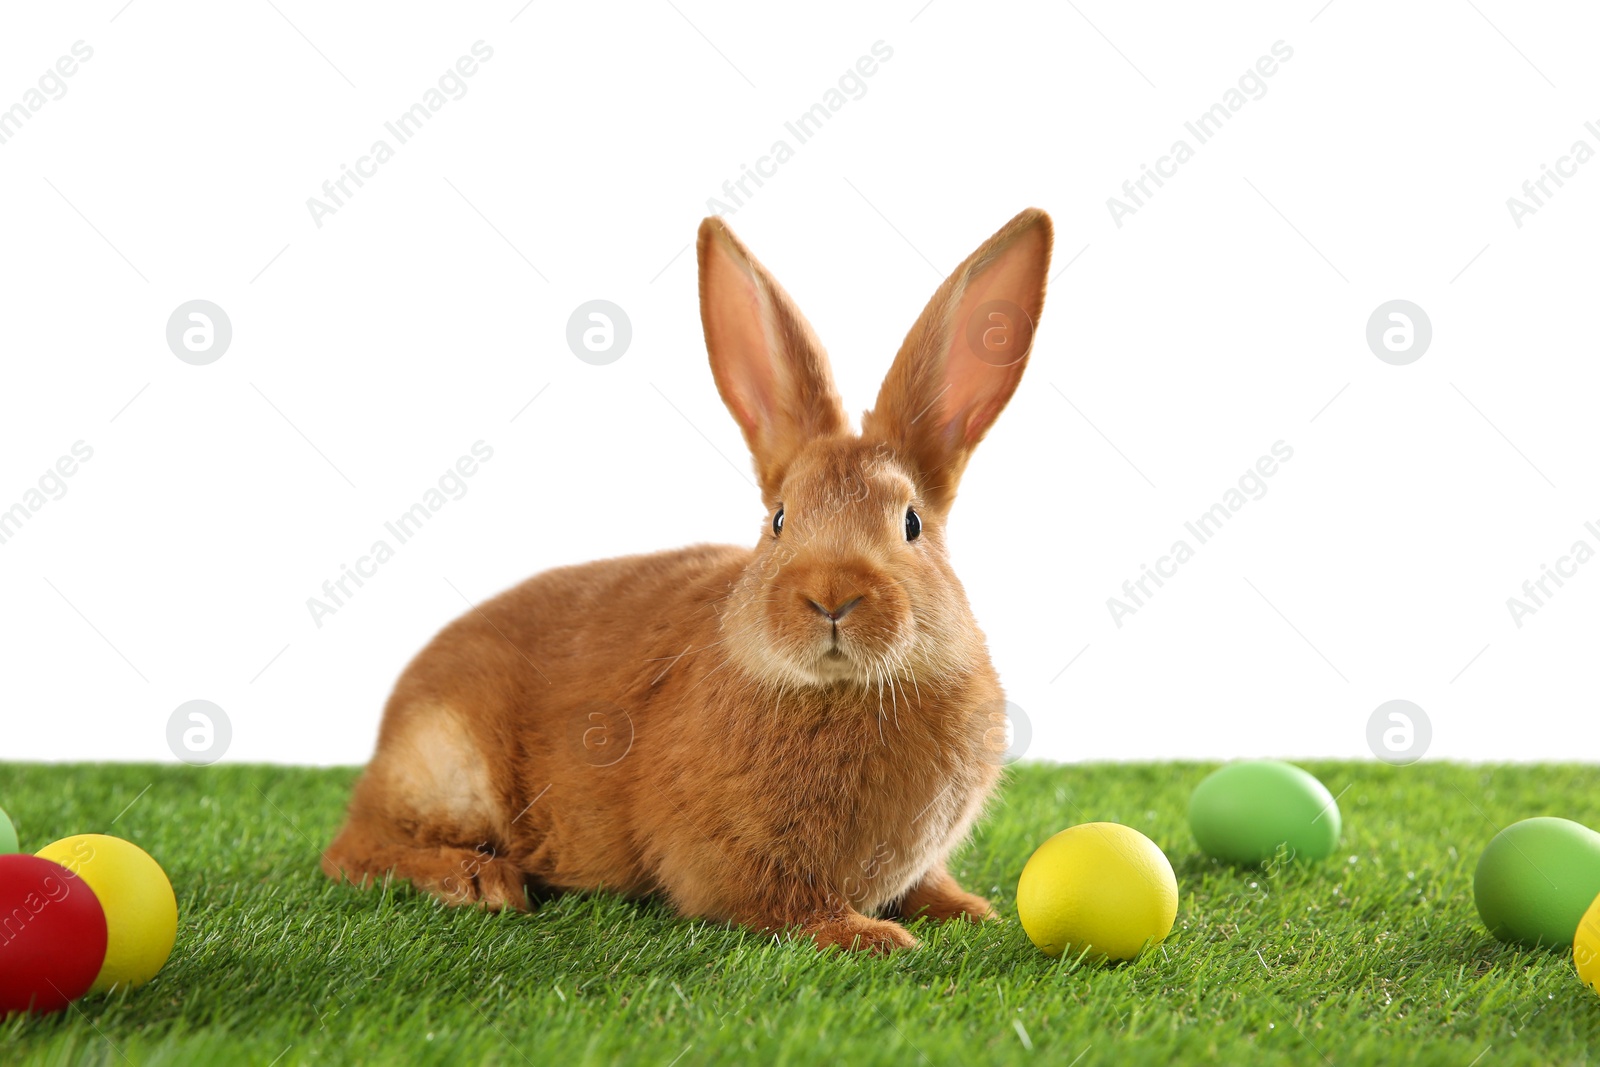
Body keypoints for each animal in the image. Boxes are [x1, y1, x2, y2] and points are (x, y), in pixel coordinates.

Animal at [321, 206, 1049, 953]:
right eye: (778, 520)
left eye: (911, 524)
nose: (831, 597)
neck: (842, 687)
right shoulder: (735, 865)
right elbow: (787, 906)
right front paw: (875, 938)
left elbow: (927, 884)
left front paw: (971, 911)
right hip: (450, 765)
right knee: (353, 852)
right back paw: (478, 882)